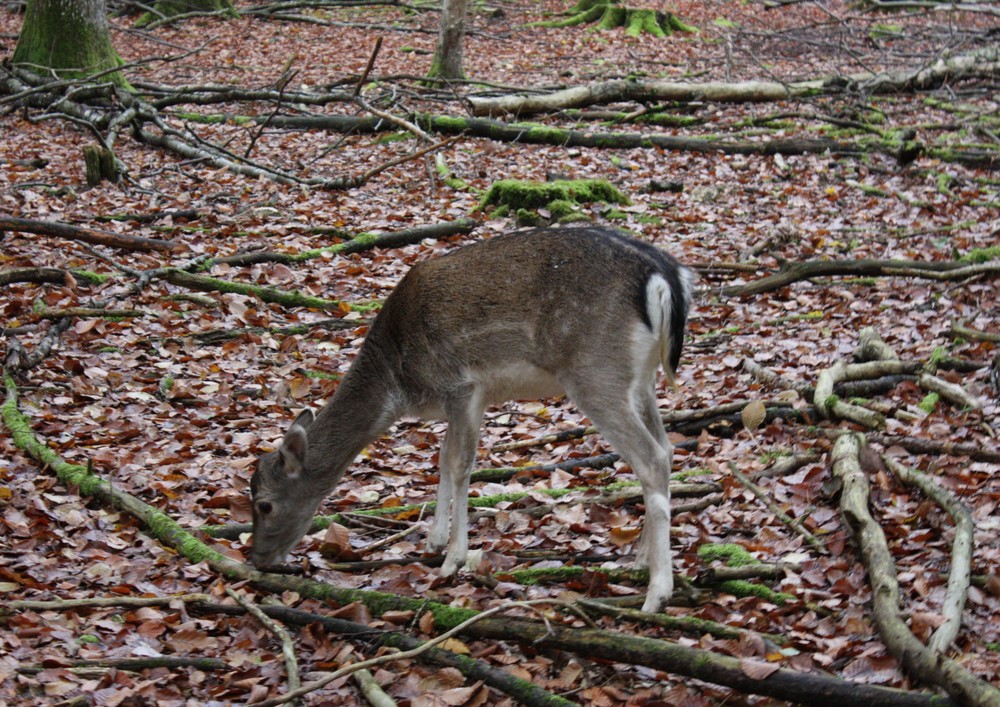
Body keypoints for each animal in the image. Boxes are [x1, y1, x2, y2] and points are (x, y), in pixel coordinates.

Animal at [246, 227, 692, 612]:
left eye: (265, 504)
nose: (256, 557)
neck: (399, 381)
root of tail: (666, 277)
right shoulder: (466, 400)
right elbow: (444, 460)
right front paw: (434, 541)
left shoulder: (460, 386)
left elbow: (460, 464)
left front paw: (453, 559)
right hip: (640, 378)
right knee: (667, 450)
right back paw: (639, 558)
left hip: (595, 371)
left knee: (651, 457)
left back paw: (658, 592)